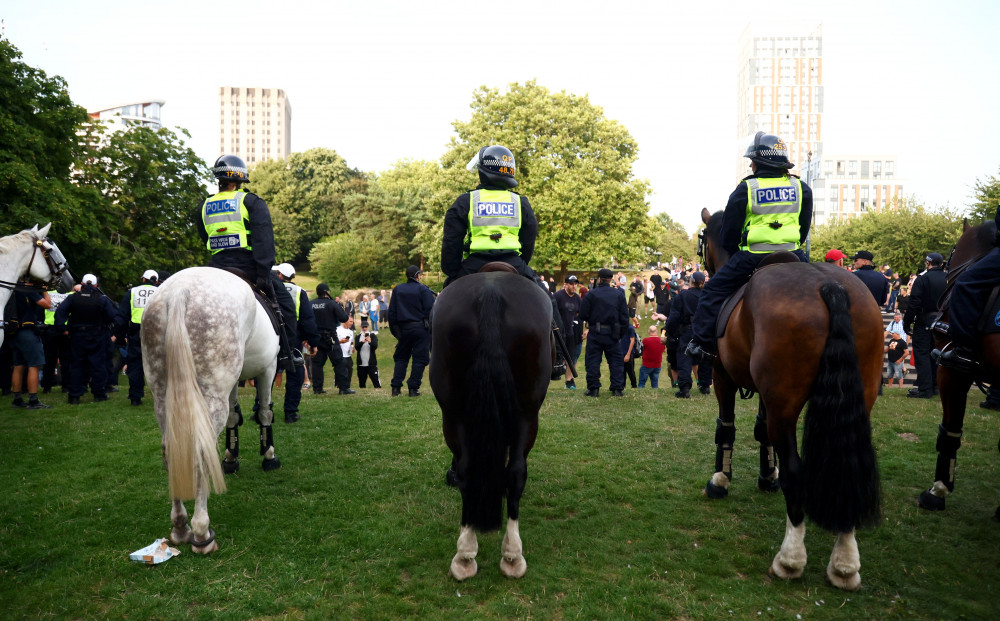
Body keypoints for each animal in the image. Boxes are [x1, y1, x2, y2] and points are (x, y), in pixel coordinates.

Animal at [428, 272, 552, 580]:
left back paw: (466, 553)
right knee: (516, 471)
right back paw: (511, 555)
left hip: (454, 413)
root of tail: (491, 291)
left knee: (470, 469)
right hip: (527, 412)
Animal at [696, 209, 884, 592]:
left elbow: (727, 427)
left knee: (797, 471)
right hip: (857, 397)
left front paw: (720, 479)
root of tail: (830, 287)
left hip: (784, 401)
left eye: (702, 239)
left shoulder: (722, 375)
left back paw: (790, 559)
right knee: (848, 466)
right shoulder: (764, 393)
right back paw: (844, 564)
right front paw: (768, 475)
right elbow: (760, 432)